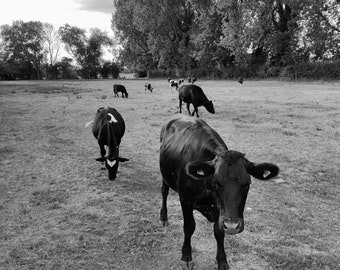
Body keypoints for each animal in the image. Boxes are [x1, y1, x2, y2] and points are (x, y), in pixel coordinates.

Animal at [159, 114, 278, 270]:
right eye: (216, 182)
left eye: (247, 184)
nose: (233, 226)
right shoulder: (185, 199)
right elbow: (189, 227)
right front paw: (186, 256)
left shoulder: (220, 210)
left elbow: (219, 232)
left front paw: (222, 260)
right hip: (165, 176)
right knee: (164, 192)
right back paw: (163, 217)